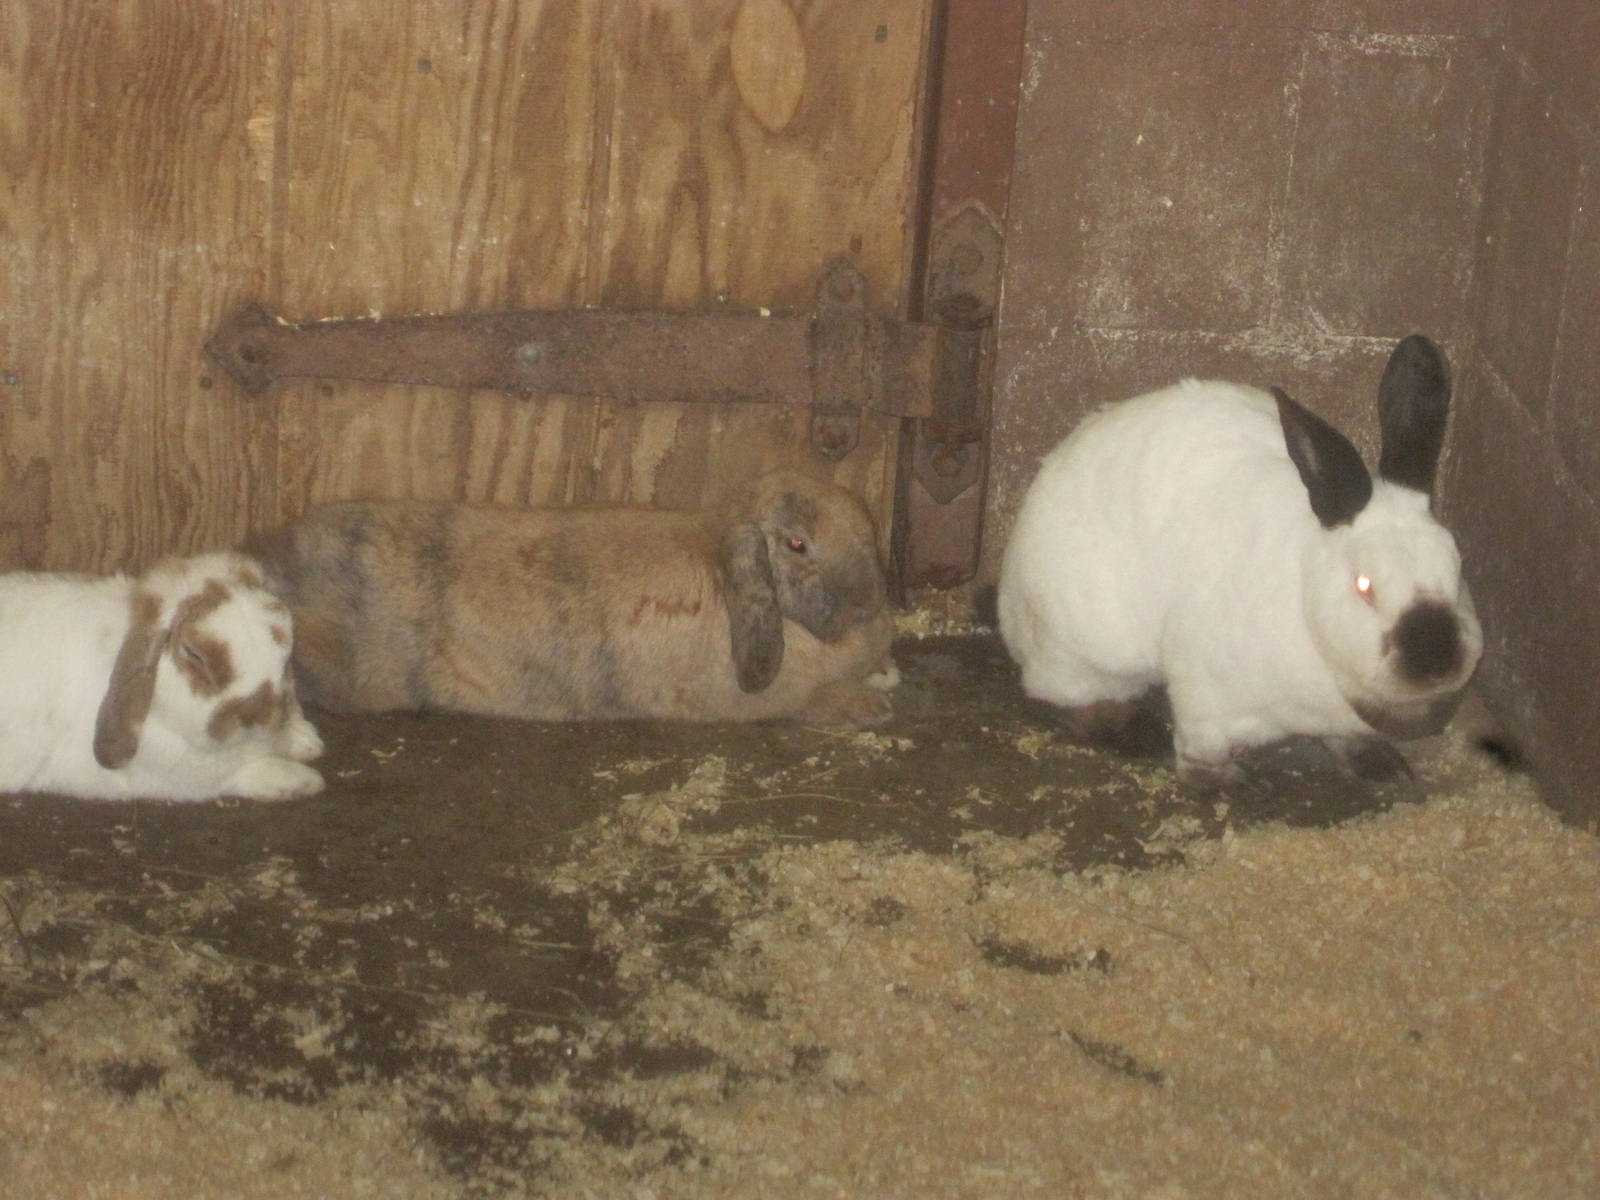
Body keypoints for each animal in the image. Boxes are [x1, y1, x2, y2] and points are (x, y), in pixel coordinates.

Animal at [0, 552, 325, 801]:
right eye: (194, 654)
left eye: (286, 652)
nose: (258, 716)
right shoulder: (181, 777)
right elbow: (242, 773)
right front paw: (302, 780)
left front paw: (306, 740)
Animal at [998, 334, 1482, 784]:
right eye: (1365, 587)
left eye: (1458, 566)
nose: (1436, 661)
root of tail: (1007, 600)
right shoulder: (1204, 690)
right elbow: (1200, 743)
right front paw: (1219, 780)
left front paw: (1381, 763)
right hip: (1087, 652)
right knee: (1056, 693)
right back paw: (1134, 731)